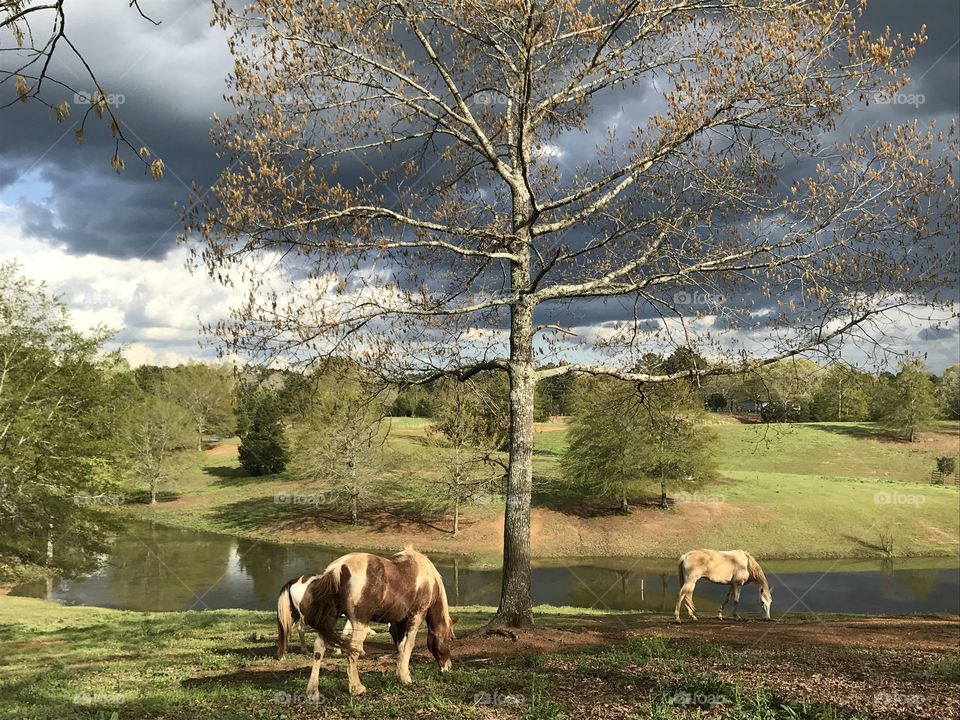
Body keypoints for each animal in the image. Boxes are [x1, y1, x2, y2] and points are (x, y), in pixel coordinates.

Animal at [277, 548, 456, 697]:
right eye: (448, 639)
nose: (447, 667)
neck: (428, 578)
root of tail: (336, 569)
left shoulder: (397, 621)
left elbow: (400, 646)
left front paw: (400, 674)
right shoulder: (416, 616)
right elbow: (408, 645)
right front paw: (406, 678)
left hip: (329, 621)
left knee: (319, 649)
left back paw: (313, 691)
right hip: (359, 622)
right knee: (352, 651)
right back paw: (356, 688)